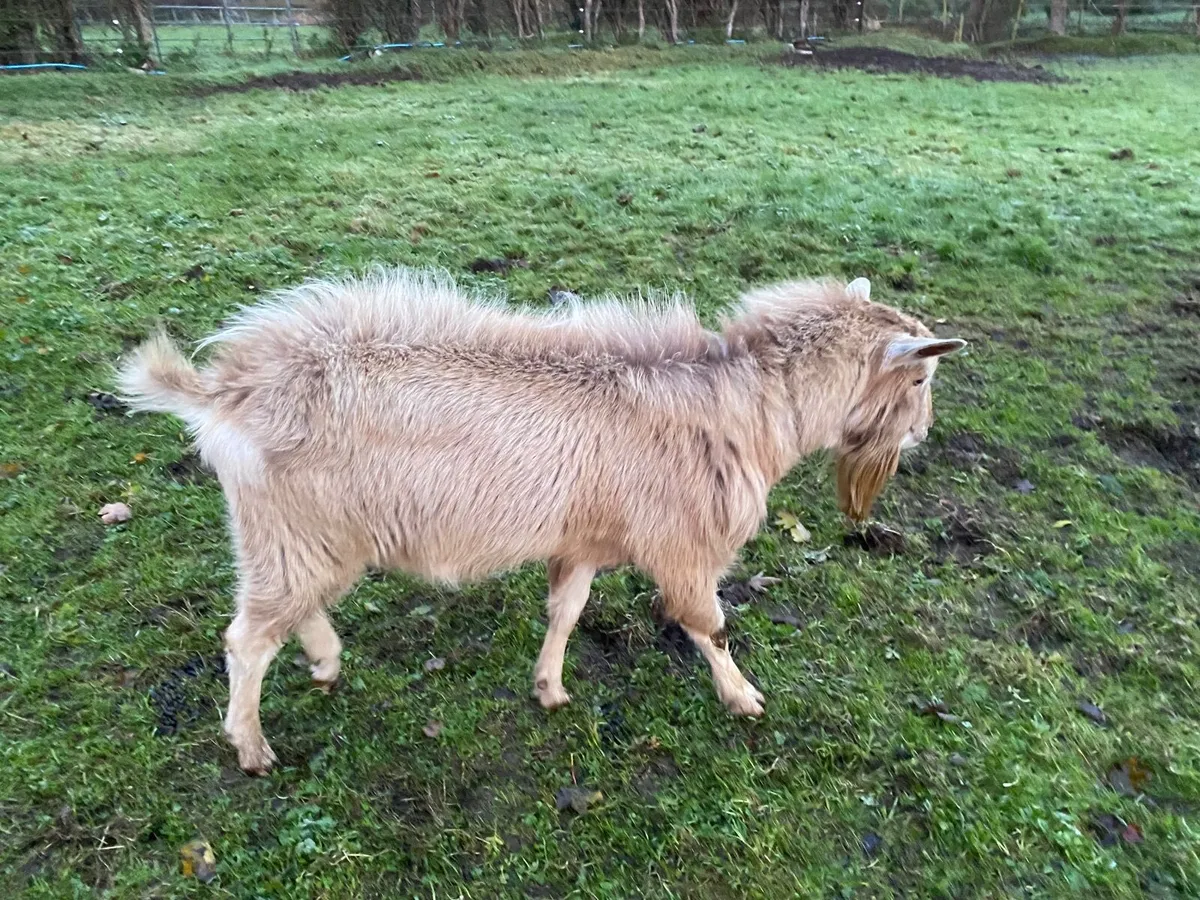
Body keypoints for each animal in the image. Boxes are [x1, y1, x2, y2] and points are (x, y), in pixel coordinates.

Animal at [118, 269, 964, 774]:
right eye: (920, 378)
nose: (922, 437)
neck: (743, 404)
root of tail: (225, 392)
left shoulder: (584, 536)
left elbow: (567, 608)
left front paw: (550, 687)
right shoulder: (683, 545)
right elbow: (710, 626)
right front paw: (743, 698)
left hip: (307, 537)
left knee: (291, 611)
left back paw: (325, 662)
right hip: (291, 532)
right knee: (247, 640)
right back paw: (252, 745)